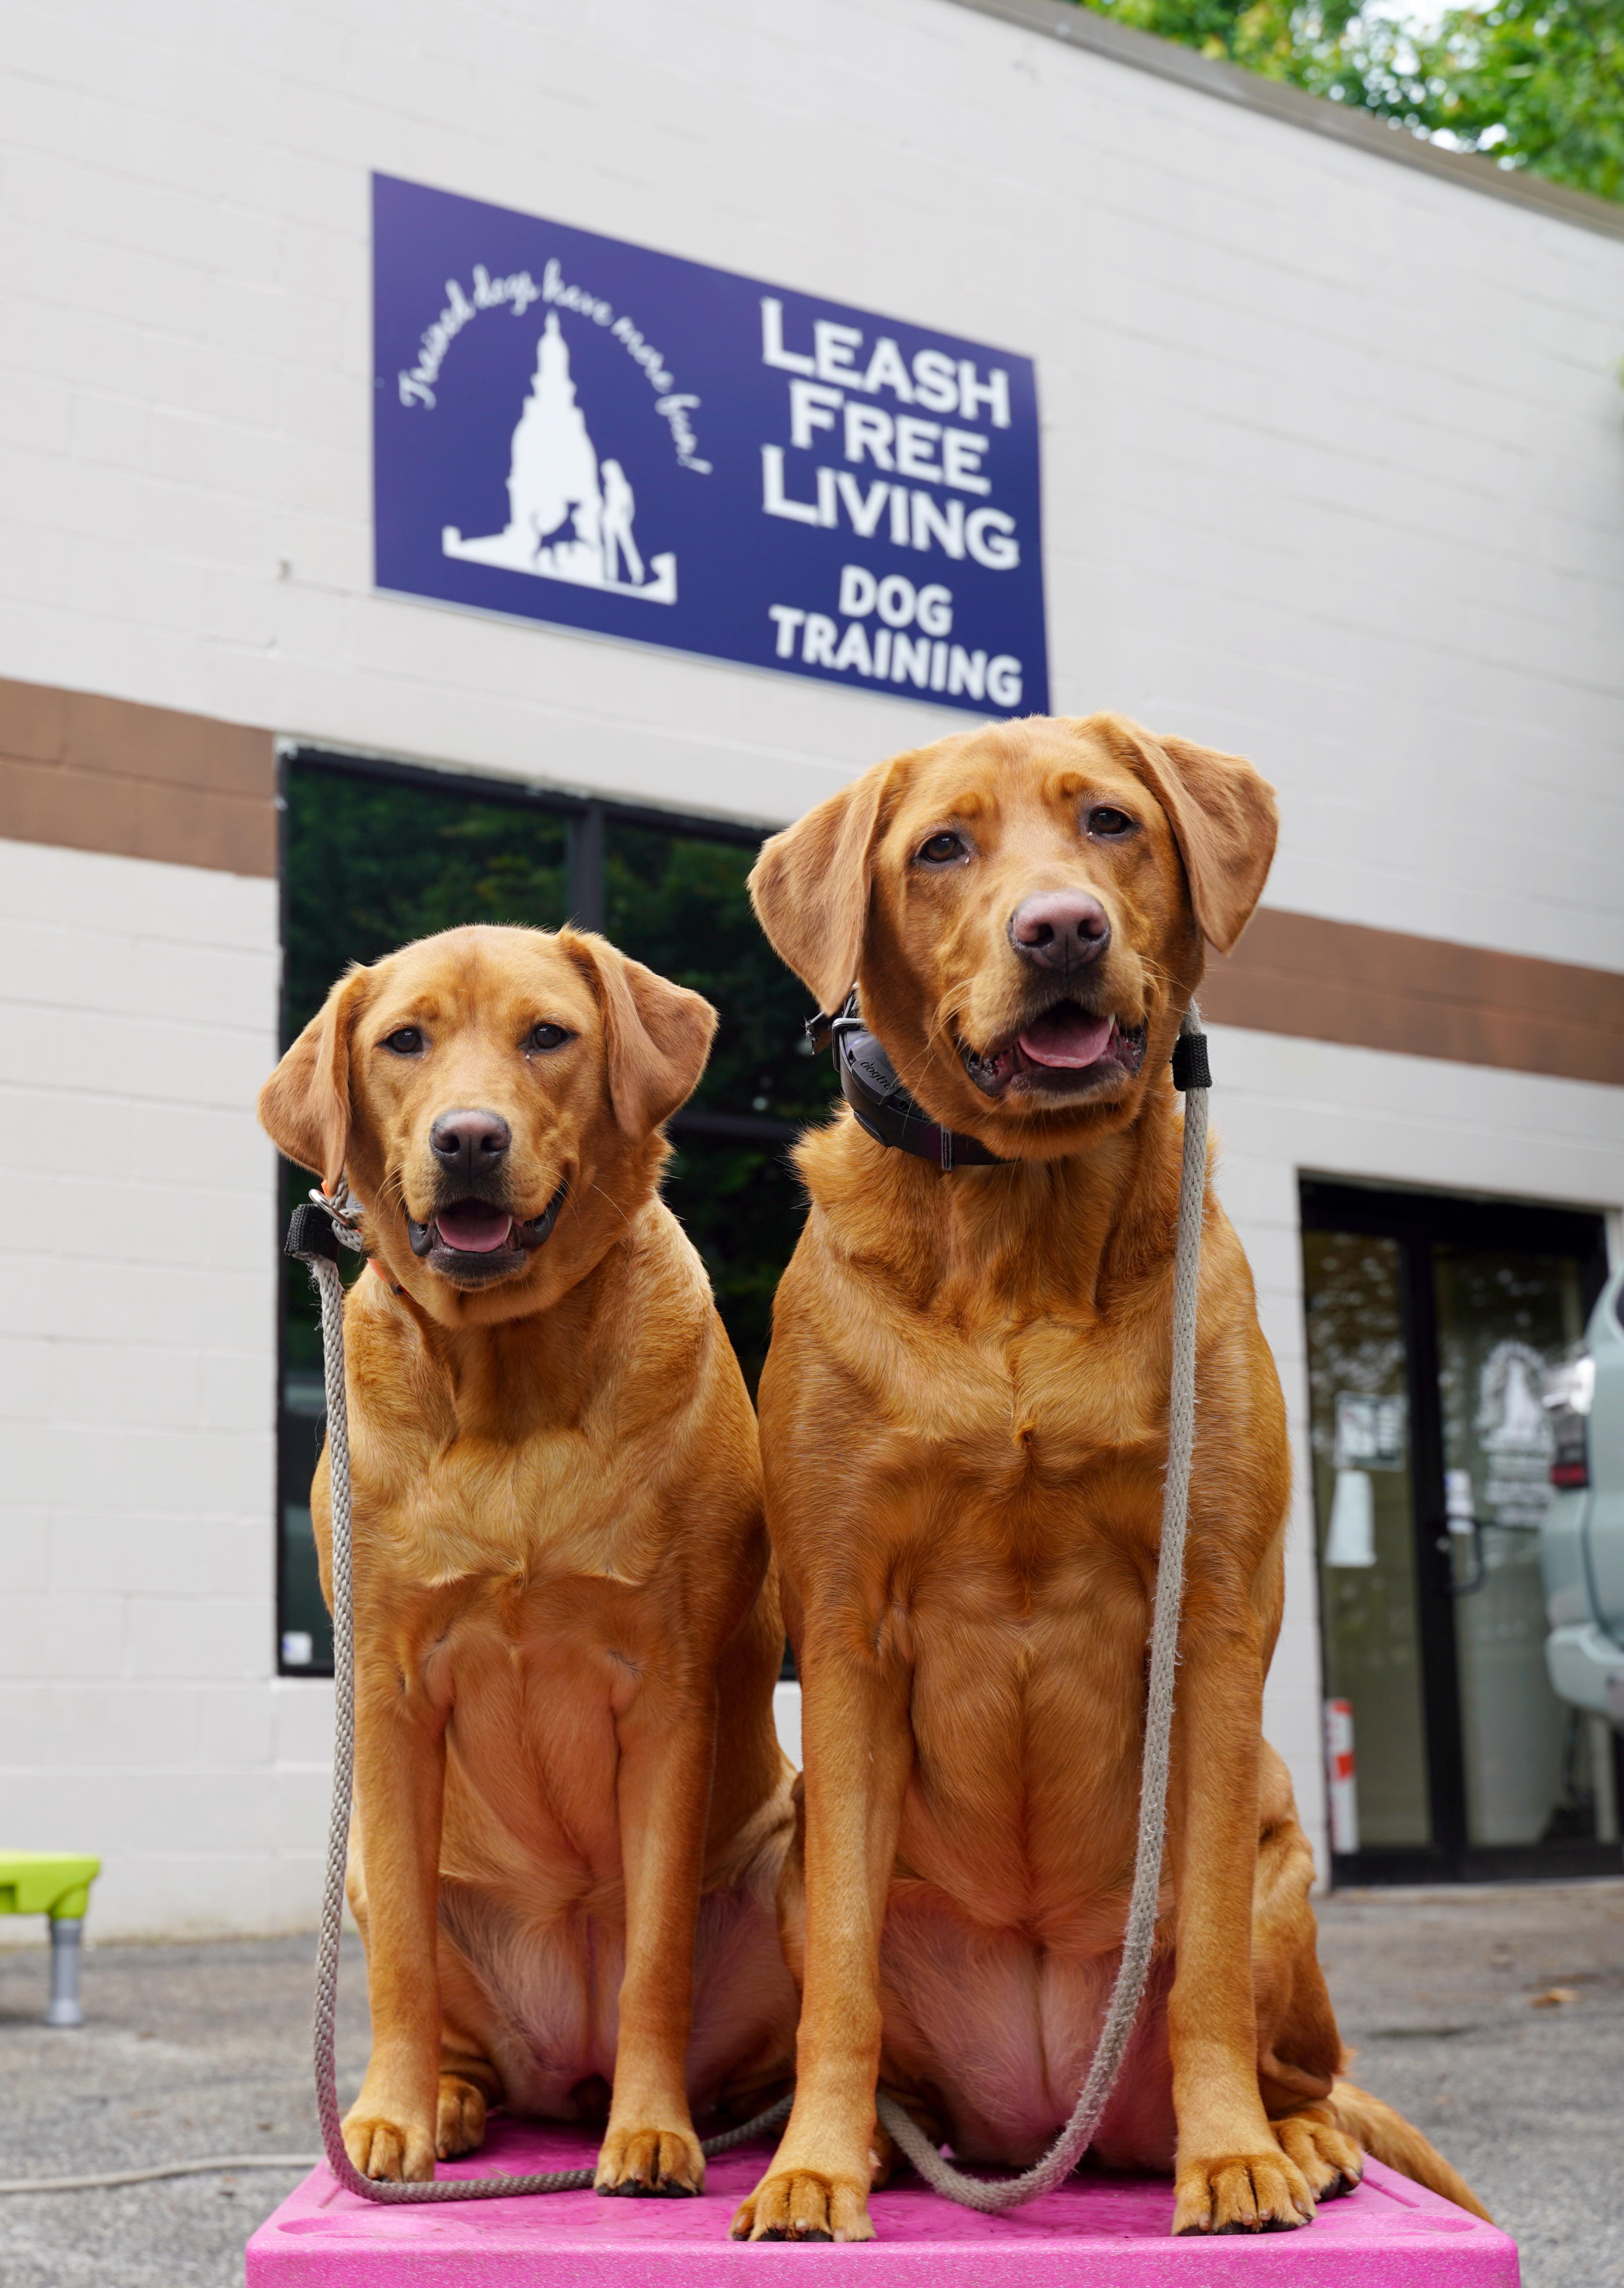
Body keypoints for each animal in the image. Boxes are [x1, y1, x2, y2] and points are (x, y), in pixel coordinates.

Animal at [256, 920, 800, 2187]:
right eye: (404, 1040)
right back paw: (450, 2100)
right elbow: (403, 1963)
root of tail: (569, 2070)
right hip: (378, 1878)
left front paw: (652, 2130)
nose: (468, 1138)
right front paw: (391, 2118)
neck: (506, 1376)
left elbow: (657, 1952)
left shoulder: (668, 1693)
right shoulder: (391, 1695)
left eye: (548, 1035)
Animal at [736, 723, 1491, 2242]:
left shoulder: (1209, 1616)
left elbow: (1196, 1962)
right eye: (941, 847)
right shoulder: (840, 1630)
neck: (1022, 1226)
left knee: (1304, 2065)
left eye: (1109, 823)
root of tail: (1045, 2119)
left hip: (1283, 1871)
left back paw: (1290, 2138)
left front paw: (1232, 2159)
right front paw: (812, 2165)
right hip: (793, 1853)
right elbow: (839, 1967)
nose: (1062, 928)